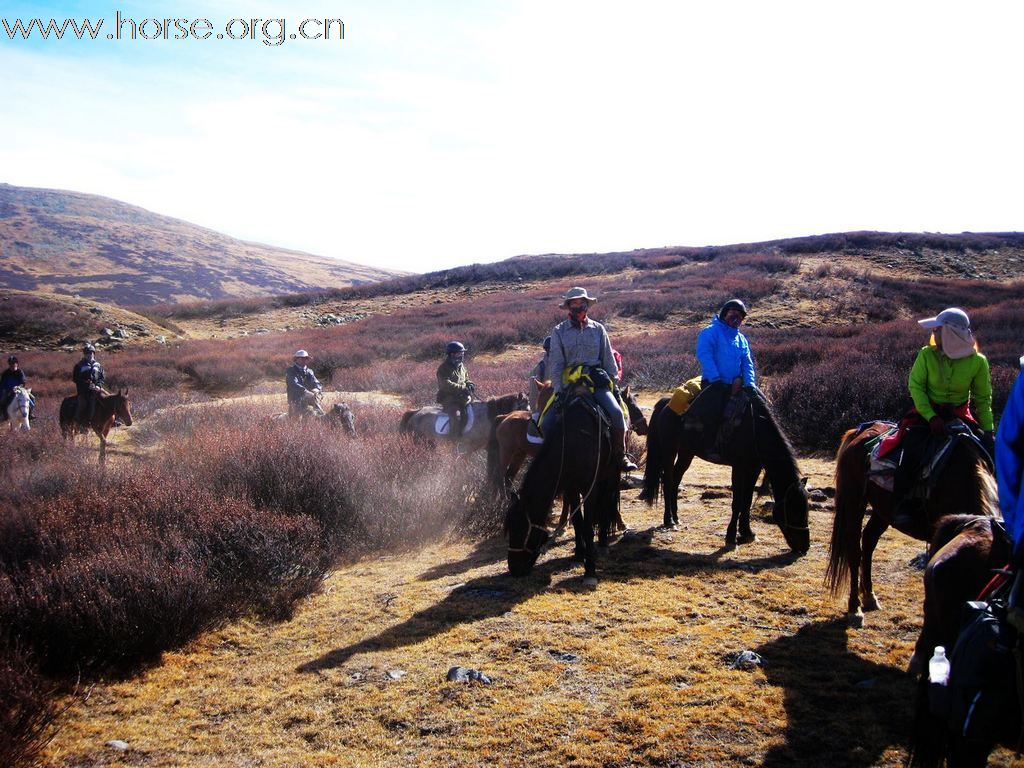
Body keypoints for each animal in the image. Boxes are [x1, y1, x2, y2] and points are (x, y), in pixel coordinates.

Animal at [505, 393, 618, 585]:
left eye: (520, 529)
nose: (514, 569)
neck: (573, 444)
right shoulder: (571, 487)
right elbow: (578, 522)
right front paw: (579, 554)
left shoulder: (589, 488)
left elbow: (588, 527)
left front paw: (590, 571)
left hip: (610, 474)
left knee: (606, 504)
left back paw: (603, 543)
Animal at [638, 393, 806, 557]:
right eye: (794, 511)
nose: (804, 547)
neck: (754, 430)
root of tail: (666, 404)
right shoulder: (738, 467)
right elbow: (737, 502)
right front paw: (731, 537)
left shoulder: (753, 468)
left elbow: (747, 500)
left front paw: (747, 533)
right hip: (669, 450)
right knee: (668, 480)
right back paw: (669, 520)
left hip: (686, 453)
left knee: (676, 480)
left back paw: (676, 517)